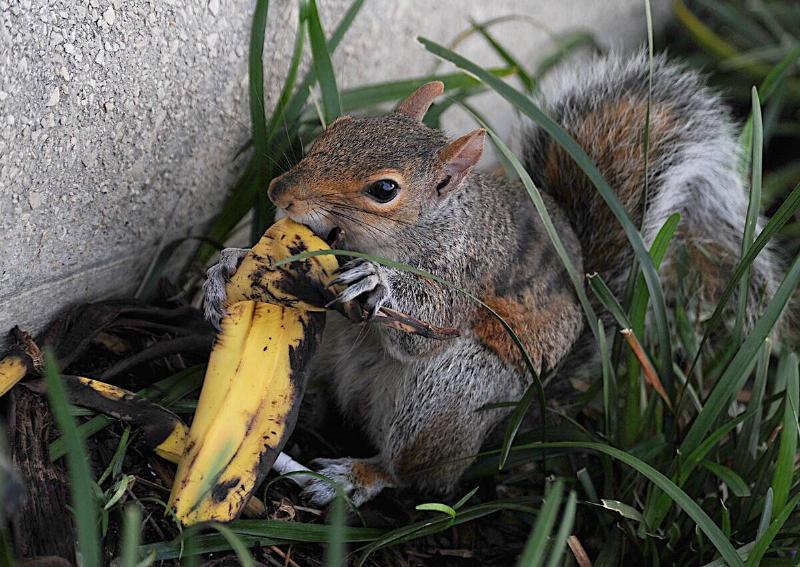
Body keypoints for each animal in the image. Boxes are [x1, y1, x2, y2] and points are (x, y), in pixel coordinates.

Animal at [203, 51, 781, 506]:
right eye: (334, 129)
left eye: (384, 189)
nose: (279, 192)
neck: (425, 227)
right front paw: (225, 265)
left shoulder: (468, 268)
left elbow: (428, 325)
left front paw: (377, 282)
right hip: (329, 353)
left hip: (454, 392)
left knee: (414, 472)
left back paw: (354, 476)